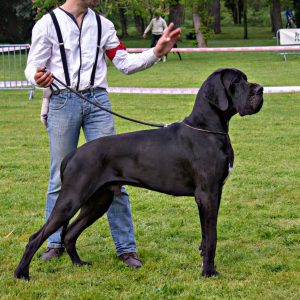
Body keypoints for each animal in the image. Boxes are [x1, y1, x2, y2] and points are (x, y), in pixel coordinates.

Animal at [14, 68, 262, 278]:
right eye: (236, 82)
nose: (260, 89)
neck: (207, 129)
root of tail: (73, 154)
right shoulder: (207, 194)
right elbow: (211, 237)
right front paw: (208, 272)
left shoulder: (213, 193)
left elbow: (206, 235)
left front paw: (206, 264)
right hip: (72, 199)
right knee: (36, 236)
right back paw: (21, 274)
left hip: (98, 201)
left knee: (69, 233)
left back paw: (78, 263)